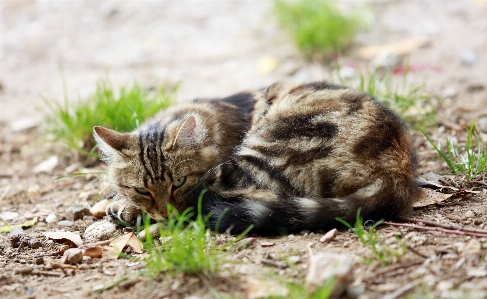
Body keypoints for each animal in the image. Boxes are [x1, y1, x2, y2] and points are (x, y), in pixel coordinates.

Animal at [94, 81, 420, 236]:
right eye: (141, 189)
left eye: (179, 182)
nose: (164, 213)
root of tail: (397, 173)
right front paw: (124, 203)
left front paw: (127, 209)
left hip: (261, 154)